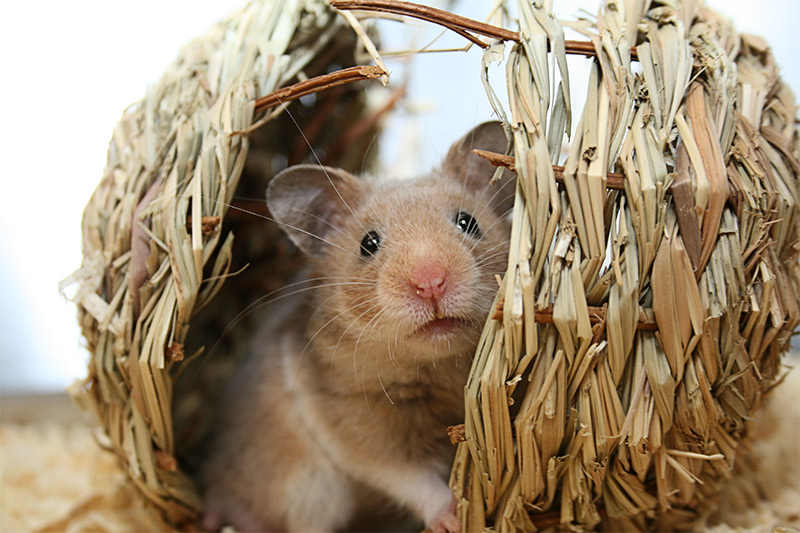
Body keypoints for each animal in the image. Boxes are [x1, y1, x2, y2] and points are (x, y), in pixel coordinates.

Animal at [203, 121, 516, 532]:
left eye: (468, 222)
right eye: (369, 244)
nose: (431, 283)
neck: (435, 366)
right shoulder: (350, 421)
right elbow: (408, 475)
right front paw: (452, 517)